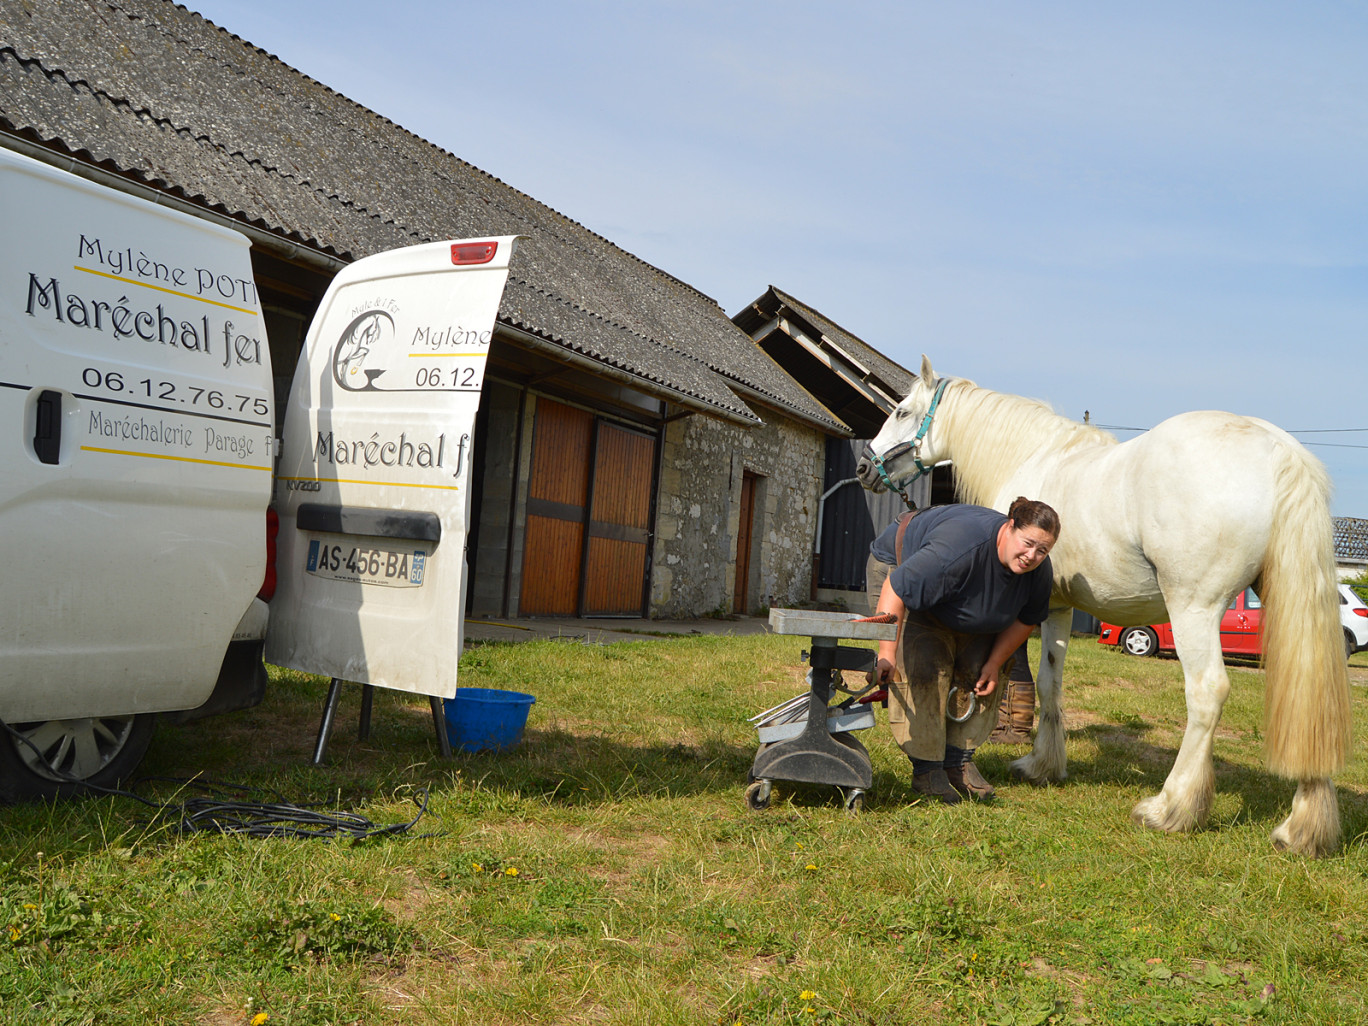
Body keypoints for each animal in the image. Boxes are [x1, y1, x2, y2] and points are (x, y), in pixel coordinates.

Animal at [859, 358, 1351, 853]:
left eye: (901, 411)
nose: (864, 466)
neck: (1034, 455)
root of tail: (1278, 449)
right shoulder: (1056, 607)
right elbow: (1052, 684)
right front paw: (1044, 765)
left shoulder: (1037, 608)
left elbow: (1034, 682)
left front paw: (1036, 763)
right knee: (1312, 701)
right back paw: (1301, 830)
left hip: (1193, 608)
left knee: (1207, 693)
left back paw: (1170, 809)